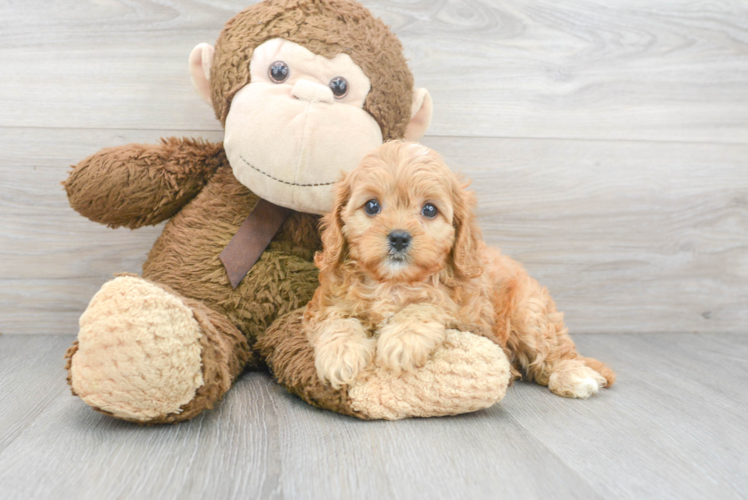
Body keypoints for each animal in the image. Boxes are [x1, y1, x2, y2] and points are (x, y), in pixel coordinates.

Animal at [300, 139, 616, 396]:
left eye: (429, 209)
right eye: (372, 206)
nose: (399, 237)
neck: (393, 283)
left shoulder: (462, 311)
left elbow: (424, 306)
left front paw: (402, 342)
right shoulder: (326, 305)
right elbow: (339, 322)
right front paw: (340, 355)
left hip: (530, 315)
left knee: (555, 352)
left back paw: (575, 376)